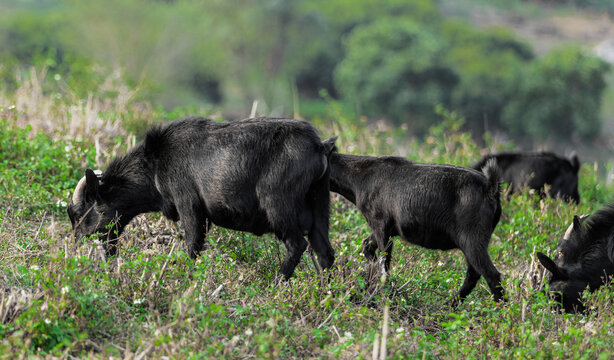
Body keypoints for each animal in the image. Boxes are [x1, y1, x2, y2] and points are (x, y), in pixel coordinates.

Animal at [69, 116, 340, 280]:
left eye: (81, 213)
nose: (75, 247)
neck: (155, 162)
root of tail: (319, 146)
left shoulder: (189, 205)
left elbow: (193, 247)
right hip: (319, 206)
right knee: (325, 252)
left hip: (278, 206)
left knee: (297, 245)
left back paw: (277, 282)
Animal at [332, 153, 506, 306]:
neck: (361, 176)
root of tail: (491, 188)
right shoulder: (388, 230)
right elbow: (367, 246)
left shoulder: (380, 224)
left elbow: (384, 264)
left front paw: (382, 295)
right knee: (474, 274)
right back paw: (449, 306)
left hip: (472, 239)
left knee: (490, 274)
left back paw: (499, 311)